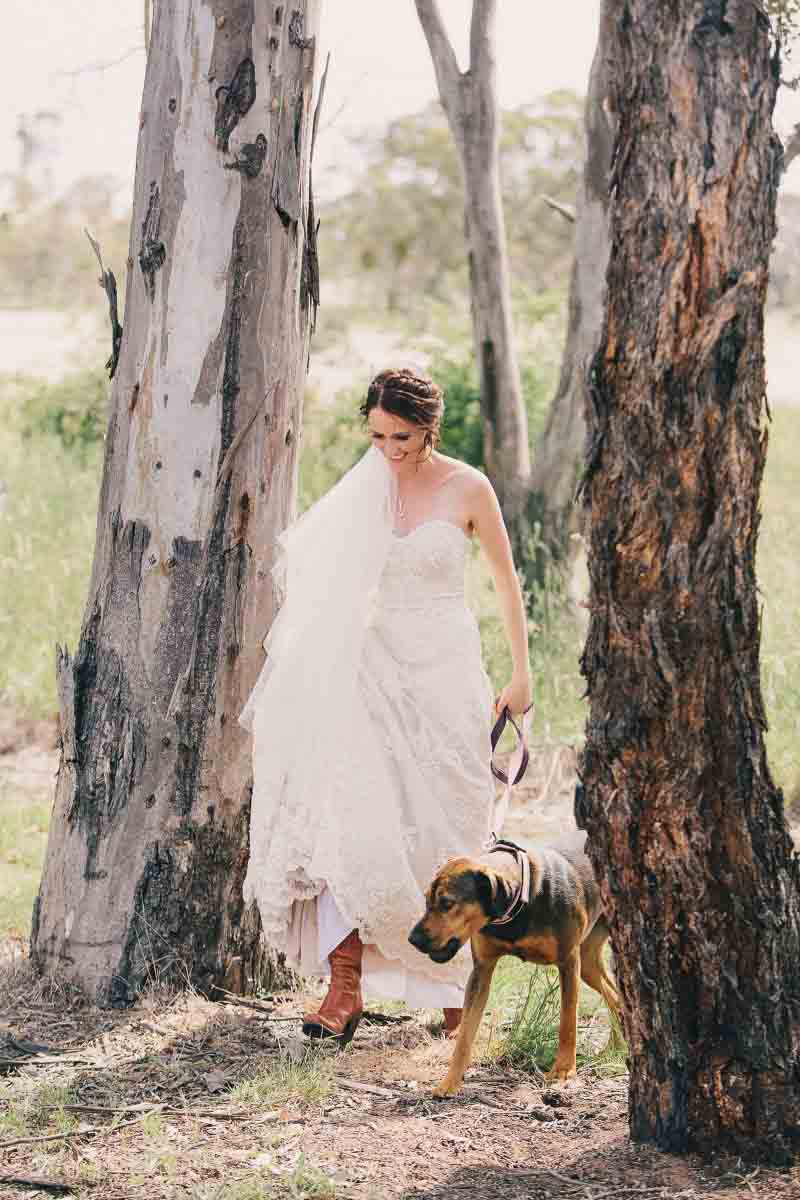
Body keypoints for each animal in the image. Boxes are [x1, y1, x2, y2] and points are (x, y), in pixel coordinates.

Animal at [410, 835, 623, 1099]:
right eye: (427, 899)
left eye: (448, 903)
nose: (413, 939)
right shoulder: (481, 970)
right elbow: (465, 1035)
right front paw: (450, 1082)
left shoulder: (568, 962)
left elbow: (568, 1022)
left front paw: (563, 1071)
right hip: (588, 963)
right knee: (615, 997)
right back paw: (616, 1047)